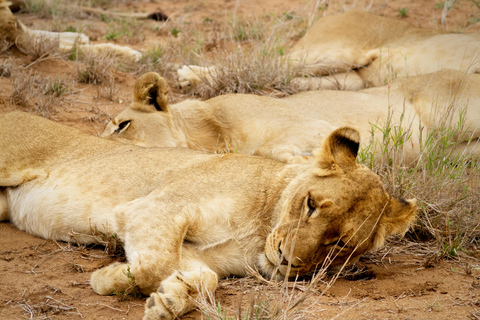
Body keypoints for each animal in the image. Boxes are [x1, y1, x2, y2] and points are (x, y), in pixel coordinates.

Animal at [0, 110, 416, 320]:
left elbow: (205, 279)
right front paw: (109, 277)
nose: (288, 260)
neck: (260, 230)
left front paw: (171, 298)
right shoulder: (155, 207)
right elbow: (155, 265)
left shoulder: (195, 251)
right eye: (311, 204)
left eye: (340, 243)